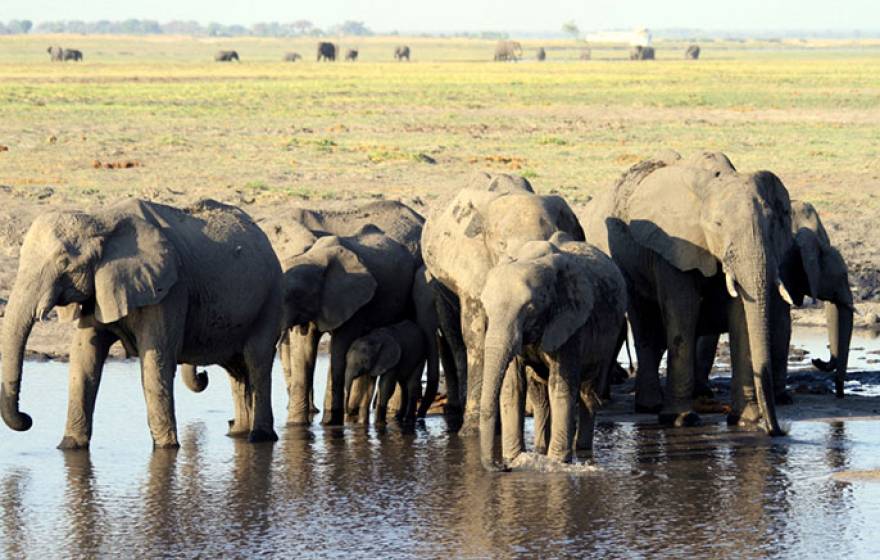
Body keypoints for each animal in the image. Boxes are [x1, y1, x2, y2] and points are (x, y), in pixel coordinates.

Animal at [0, 199, 282, 448]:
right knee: (237, 370)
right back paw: (237, 433)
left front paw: (167, 449)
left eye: (63, 263)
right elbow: (84, 359)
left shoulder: (170, 289)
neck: (102, 220)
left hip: (269, 298)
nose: (27, 418)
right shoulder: (100, 287)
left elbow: (156, 362)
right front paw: (68, 447)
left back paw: (259, 437)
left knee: (257, 361)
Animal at [269, 201, 426, 425]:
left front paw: (329, 423)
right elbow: (304, 351)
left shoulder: (352, 300)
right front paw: (297, 426)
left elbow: (340, 348)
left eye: (296, 295)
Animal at [422, 173, 586, 432]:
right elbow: (477, 334)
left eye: (548, 237)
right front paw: (472, 429)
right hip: (437, 277)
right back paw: (455, 409)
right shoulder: (472, 263)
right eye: (501, 246)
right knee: (453, 335)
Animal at [479, 233, 627, 471]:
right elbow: (513, 388)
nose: (500, 467)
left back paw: (581, 451)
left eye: (530, 309)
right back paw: (540, 448)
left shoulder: (571, 323)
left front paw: (557, 462)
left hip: (609, 336)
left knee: (589, 390)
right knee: (539, 393)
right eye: (485, 308)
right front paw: (516, 459)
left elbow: (560, 387)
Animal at [583, 151, 791, 434]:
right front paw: (681, 420)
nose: (776, 430)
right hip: (623, 261)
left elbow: (741, 316)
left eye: (771, 225)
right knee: (644, 325)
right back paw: (650, 406)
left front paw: (746, 421)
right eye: (718, 224)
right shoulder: (674, 245)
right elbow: (683, 310)